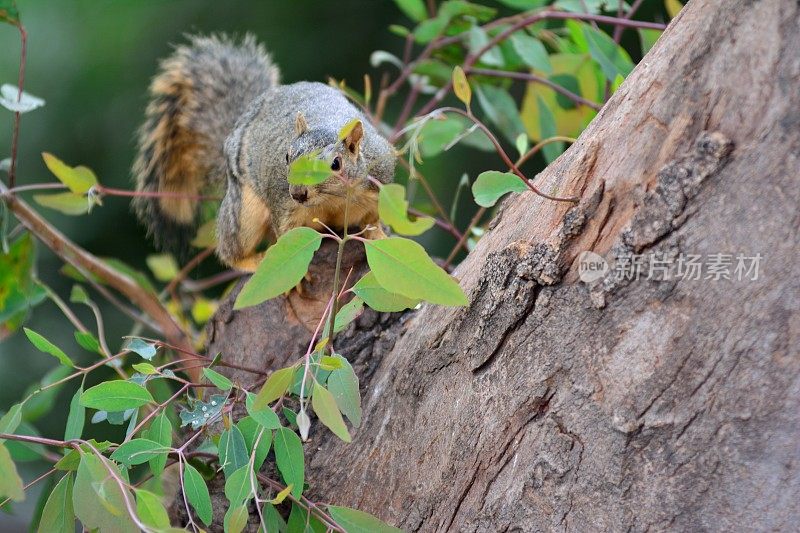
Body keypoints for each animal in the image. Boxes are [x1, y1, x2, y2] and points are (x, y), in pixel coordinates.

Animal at [133, 34, 396, 270]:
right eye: (287, 157)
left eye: (336, 164)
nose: (298, 193)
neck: (333, 200)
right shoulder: (283, 205)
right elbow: (286, 240)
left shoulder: (379, 185)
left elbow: (374, 220)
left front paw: (380, 235)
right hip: (244, 212)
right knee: (231, 250)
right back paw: (251, 261)